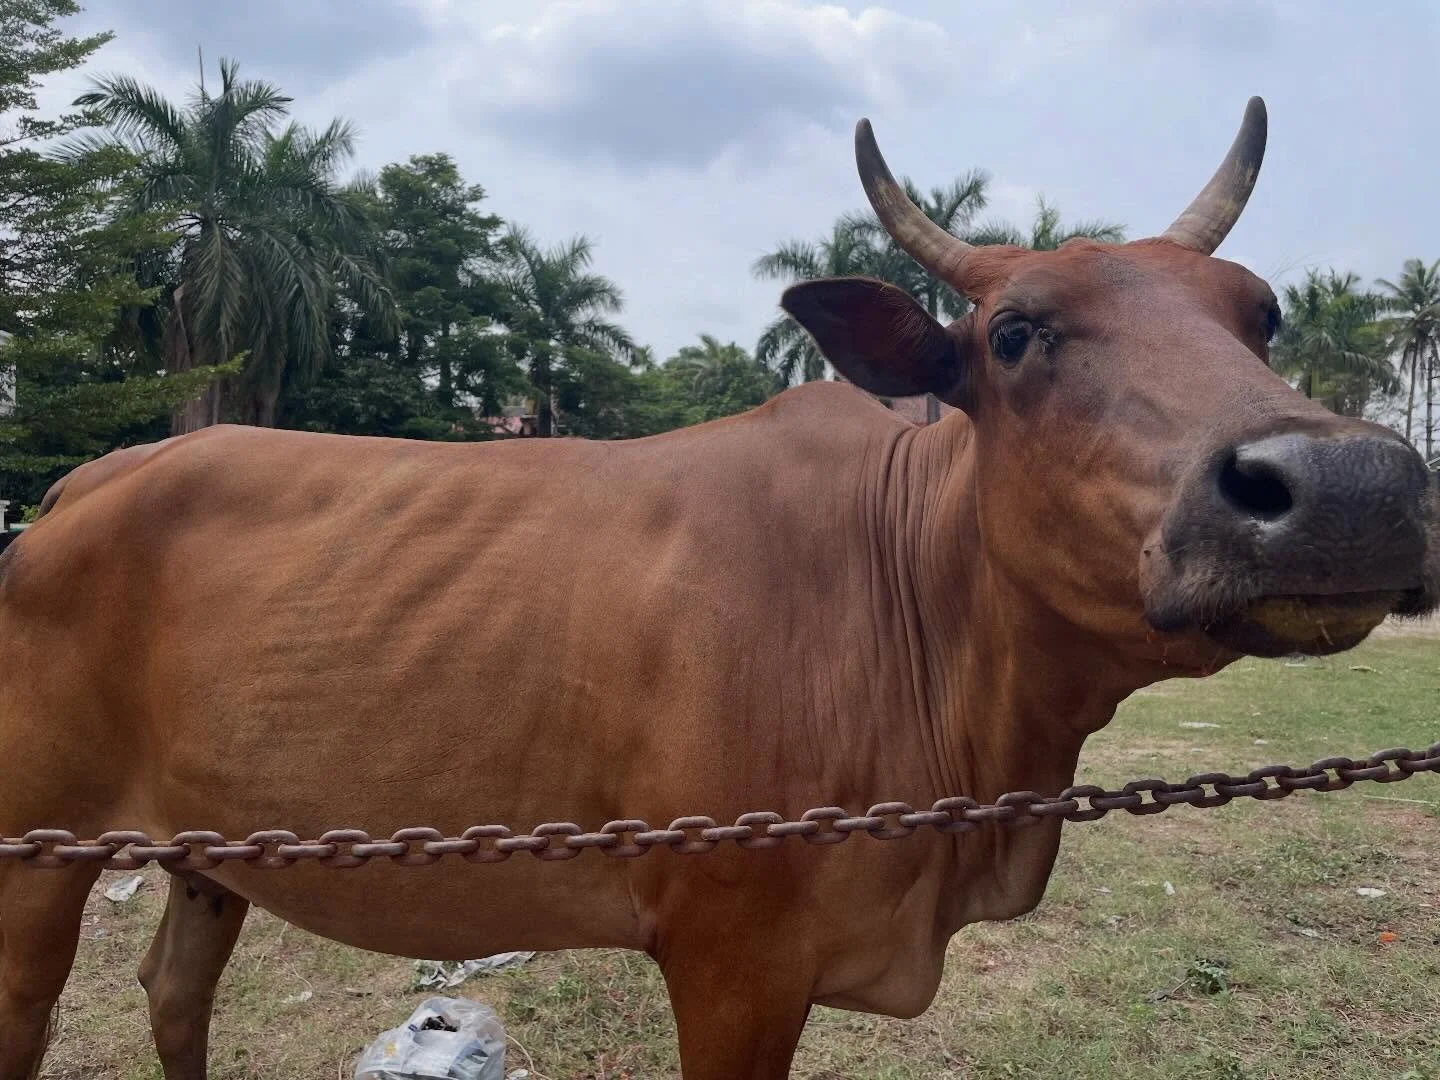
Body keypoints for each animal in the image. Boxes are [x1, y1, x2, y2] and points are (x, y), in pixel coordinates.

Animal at [1, 97, 1435, 1080]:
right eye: (1017, 333)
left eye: (1260, 315)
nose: (1348, 486)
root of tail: (82, 487)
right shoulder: (732, 959)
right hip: (39, 848)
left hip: (212, 848)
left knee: (172, 990)